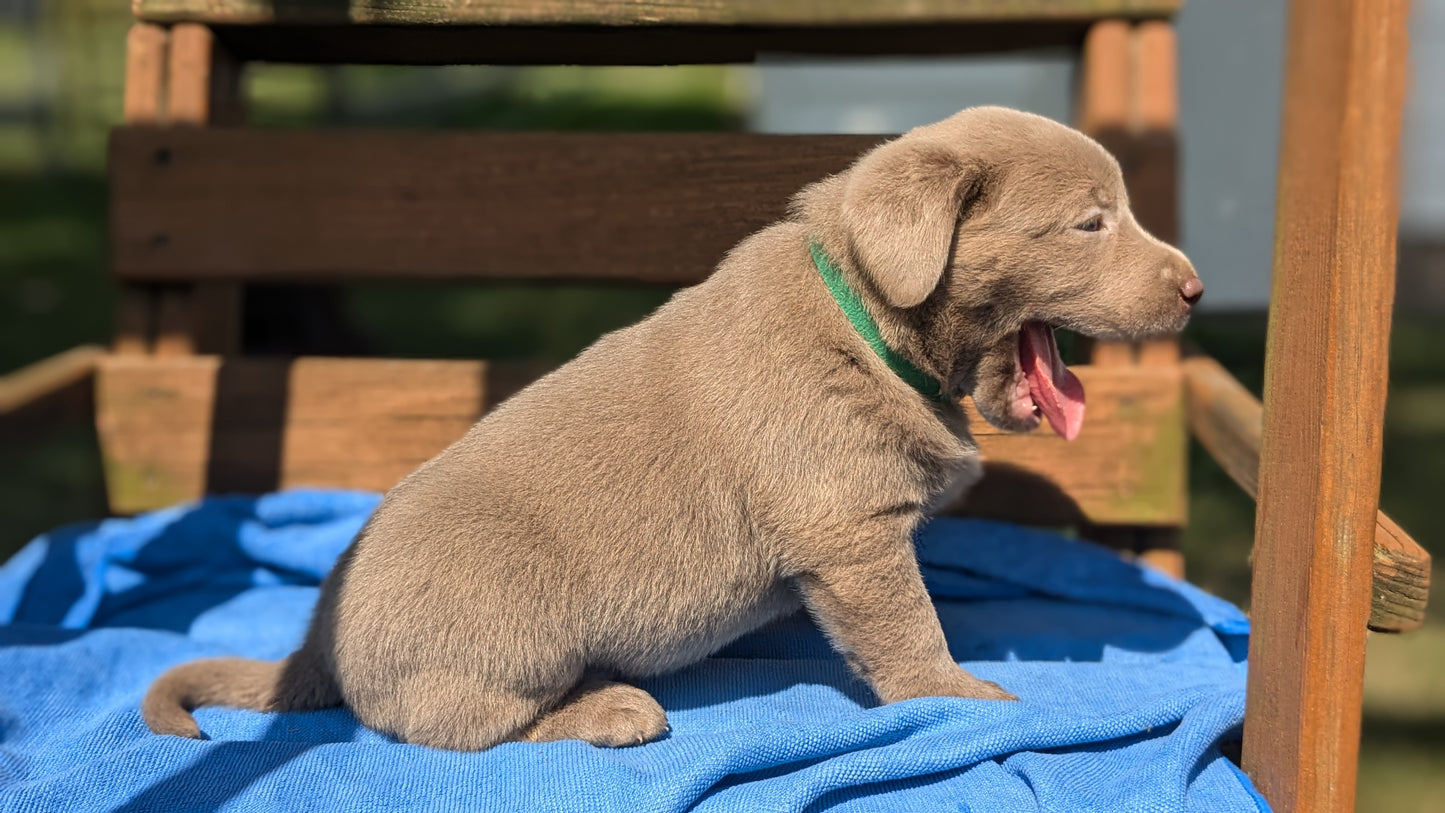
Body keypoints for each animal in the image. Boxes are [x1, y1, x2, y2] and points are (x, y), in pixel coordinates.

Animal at [143, 106, 1196, 750]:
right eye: (1090, 224)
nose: (1191, 289)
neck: (863, 322)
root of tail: (316, 640)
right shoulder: (852, 536)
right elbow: (907, 629)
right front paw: (958, 695)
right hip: (515, 624)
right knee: (460, 724)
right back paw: (608, 709)